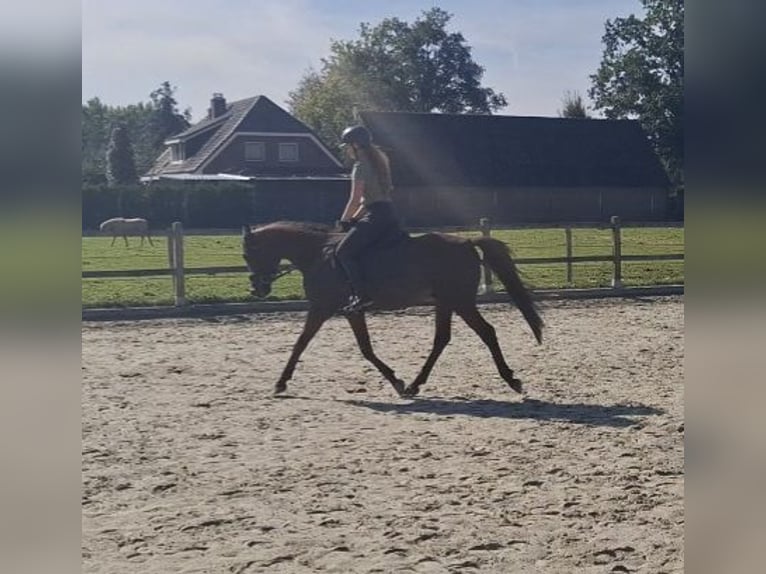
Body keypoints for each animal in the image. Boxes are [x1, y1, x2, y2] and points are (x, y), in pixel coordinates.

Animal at [242, 221, 543, 398]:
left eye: (247, 254)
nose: (258, 289)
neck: (318, 255)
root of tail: (467, 242)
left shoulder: (326, 308)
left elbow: (304, 344)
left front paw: (280, 383)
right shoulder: (346, 311)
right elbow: (359, 347)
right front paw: (397, 381)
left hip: (459, 301)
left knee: (485, 332)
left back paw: (511, 380)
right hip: (447, 302)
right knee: (444, 339)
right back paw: (416, 384)